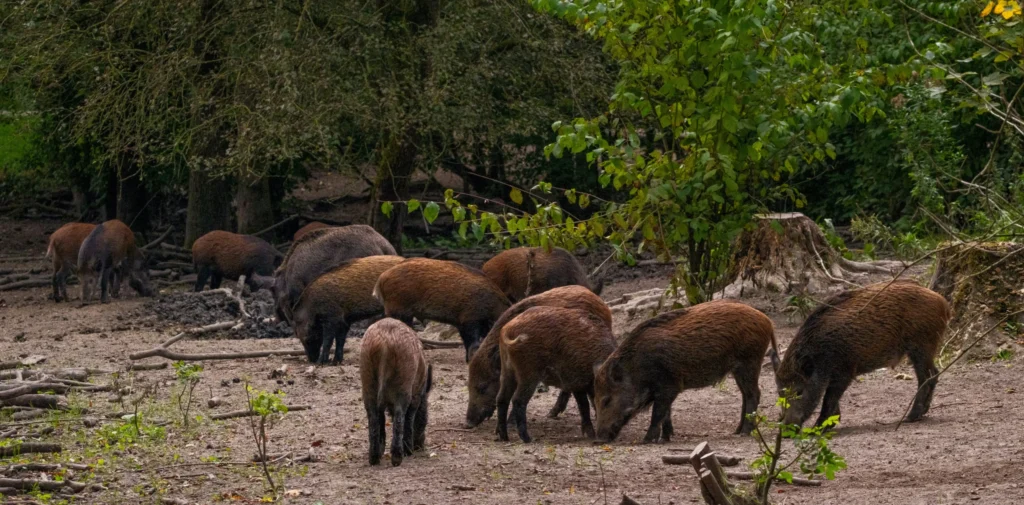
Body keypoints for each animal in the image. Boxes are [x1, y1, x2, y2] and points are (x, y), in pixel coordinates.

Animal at [360, 318, 432, 467]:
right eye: (425, 418)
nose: (420, 446)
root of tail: (384, 344)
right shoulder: (416, 396)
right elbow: (410, 417)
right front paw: (409, 452)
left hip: (367, 379)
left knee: (373, 417)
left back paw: (374, 459)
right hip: (403, 383)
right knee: (400, 416)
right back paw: (398, 458)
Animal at [495, 306, 616, 442]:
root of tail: (508, 329)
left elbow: (585, 404)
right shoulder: (577, 381)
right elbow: (584, 406)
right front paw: (591, 435)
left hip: (507, 371)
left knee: (501, 398)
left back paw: (504, 437)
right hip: (528, 373)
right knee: (518, 400)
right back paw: (528, 439)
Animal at [594, 300, 777, 443]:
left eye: (606, 400)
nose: (598, 440)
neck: (636, 367)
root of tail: (768, 321)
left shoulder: (668, 386)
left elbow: (658, 412)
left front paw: (647, 440)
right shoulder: (665, 388)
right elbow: (666, 412)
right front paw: (665, 438)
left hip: (750, 362)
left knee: (754, 394)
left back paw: (745, 432)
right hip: (739, 369)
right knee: (745, 395)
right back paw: (737, 430)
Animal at [775, 281, 951, 427]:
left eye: (799, 391)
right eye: (780, 393)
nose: (786, 426)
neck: (819, 353)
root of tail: (942, 302)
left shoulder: (844, 371)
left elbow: (829, 398)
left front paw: (817, 428)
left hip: (921, 346)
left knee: (927, 376)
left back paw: (911, 417)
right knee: (934, 373)